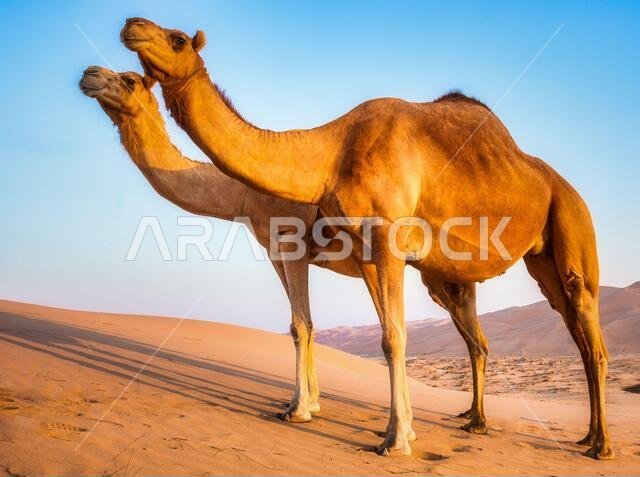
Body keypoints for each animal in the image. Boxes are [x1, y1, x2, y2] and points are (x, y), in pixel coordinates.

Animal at [79, 65, 486, 427]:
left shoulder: (291, 244)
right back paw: (469, 416)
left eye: (129, 80)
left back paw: (474, 421)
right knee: (475, 340)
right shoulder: (274, 252)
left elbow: (300, 325)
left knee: (473, 340)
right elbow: (304, 324)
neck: (243, 195)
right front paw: (310, 401)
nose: (89, 74)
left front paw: (300, 408)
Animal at [120, 18, 613, 459]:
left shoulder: (367, 240)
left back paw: (601, 446)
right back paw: (497, 424)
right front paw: (399, 429)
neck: (331, 154)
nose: (131, 24)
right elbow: (378, 335)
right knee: (534, 335)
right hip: (499, 269)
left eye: (177, 39)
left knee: (589, 328)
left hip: (572, 219)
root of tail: (564, 186)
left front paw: (388, 439)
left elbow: (382, 337)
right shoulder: (365, 251)